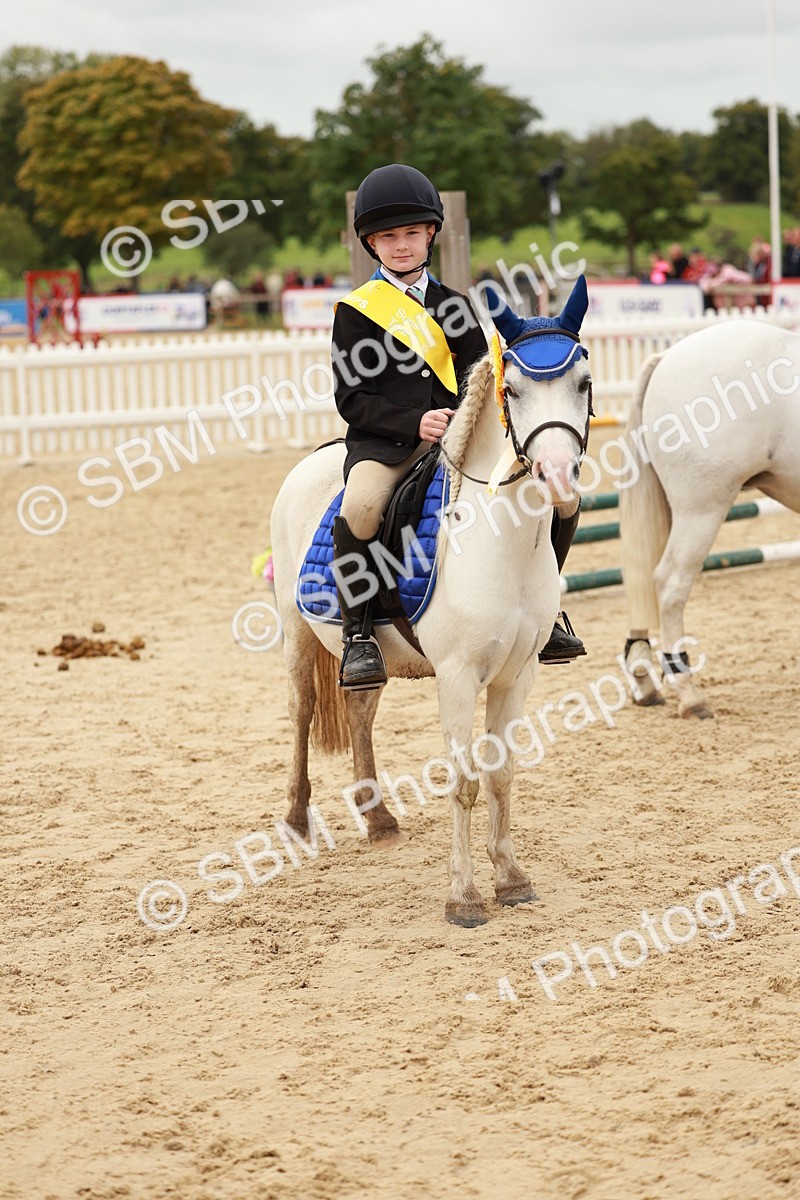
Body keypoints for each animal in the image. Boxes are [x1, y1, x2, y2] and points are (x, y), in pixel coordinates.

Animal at [269, 283, 593, 926]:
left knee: (360, 708)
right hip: (297, 632)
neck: (502, 542)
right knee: (301, 712)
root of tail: (320, 454)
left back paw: (377, 817)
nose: (558, 478)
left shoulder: (516, 675)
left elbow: (502, 776)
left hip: (372, 654)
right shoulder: (459, 676)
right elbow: (464, 781)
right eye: (513, 391)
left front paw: (511, 878)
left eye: (584, 383)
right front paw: (464, 897)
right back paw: (296, 821)